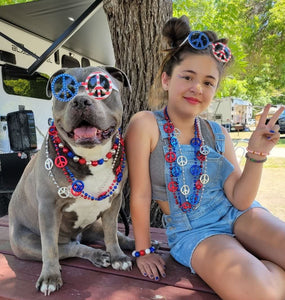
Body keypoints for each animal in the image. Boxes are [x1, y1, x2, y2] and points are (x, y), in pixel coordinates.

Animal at [7, 66, 134, 296]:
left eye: (101, 88)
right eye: (64, 93)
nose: (80, 101)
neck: (90, 157)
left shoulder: (114, 203)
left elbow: (112, 233)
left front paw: (118, 256)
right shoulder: (49, 209)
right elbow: (50, 248)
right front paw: (50, 276)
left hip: (94, 224)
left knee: (114, 235)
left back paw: (130, 244)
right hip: (26, 243)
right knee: (68, 248)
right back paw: (96, 255)